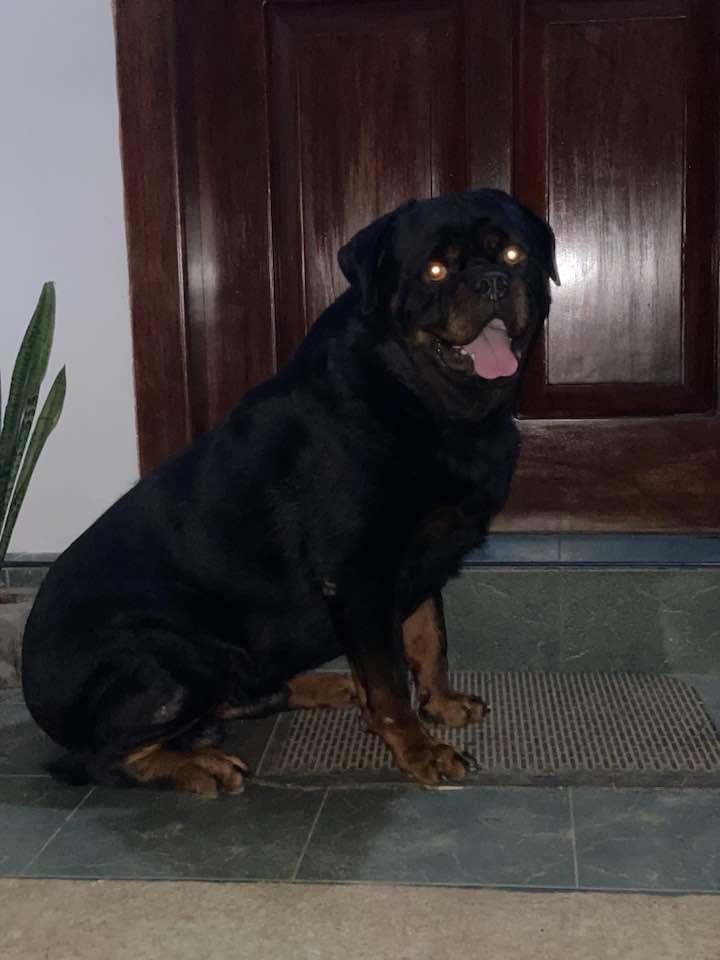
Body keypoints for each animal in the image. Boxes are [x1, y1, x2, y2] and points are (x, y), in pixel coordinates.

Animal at [22, 189, 558, 794]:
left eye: (513, 254)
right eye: (436, 271)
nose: (491, 281)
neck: (423, 399)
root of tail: (36, 698)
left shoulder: (420, 560)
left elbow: (428, 639)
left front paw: (441, 703)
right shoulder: (357, 575)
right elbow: (390, 677)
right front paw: (420, 751)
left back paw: (331, 687)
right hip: (168, 659)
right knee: (100, 758)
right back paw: (201, 765)